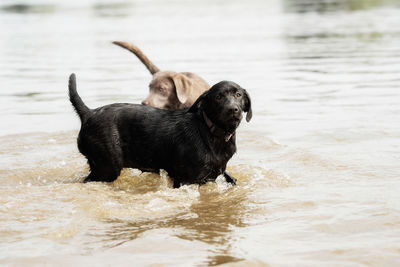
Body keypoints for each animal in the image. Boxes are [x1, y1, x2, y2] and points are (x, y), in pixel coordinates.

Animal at [68, 72, 250, 187]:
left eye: (238, 95)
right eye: (218, 97)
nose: (233, 109)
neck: (209, 131)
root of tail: (89, 113)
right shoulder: (185, 180)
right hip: (106, 169)